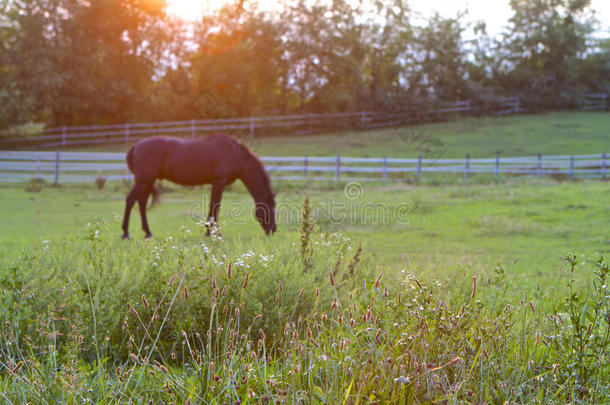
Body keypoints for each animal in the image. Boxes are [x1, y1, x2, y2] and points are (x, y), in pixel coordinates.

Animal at [120, 134, 276, 238]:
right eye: (270, 208)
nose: (273, 230)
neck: (234, 154)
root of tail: (135, 147)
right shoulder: (219, 182)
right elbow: (215, 206)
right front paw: (212, 232)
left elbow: (213, 206)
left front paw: (209, 230)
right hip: (143, 181)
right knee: (130, 200)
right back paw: (126, 233)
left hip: (147, 182)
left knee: (141, 202)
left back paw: (147, 232)